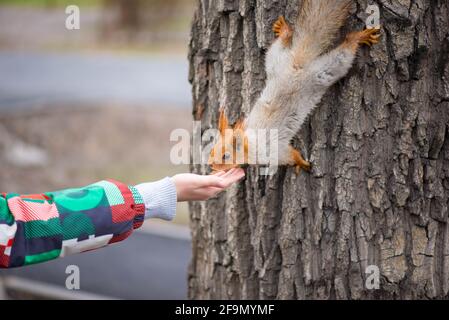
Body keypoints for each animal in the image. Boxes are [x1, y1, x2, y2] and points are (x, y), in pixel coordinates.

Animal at [208, 0, 380, 174]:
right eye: (212, 150)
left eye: (225, 156)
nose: (210, 165)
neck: (249, 142)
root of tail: (297, 64)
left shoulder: (273, 150)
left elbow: (291, 155)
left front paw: (301, 163)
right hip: (275, 61)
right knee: (279, 46)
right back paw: (284, 31)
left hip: (323, 73)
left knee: (344, 53)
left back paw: (358, 37)